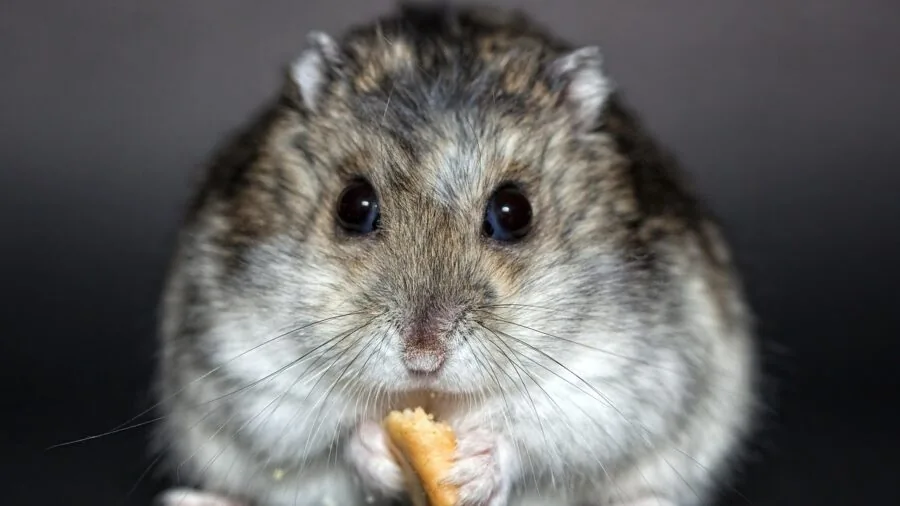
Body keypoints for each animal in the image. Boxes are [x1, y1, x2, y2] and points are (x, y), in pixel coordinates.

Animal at [153, 4, 757, 506]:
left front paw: (471, 469)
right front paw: (377, 448)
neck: (435, 398)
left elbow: (537, 434)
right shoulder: (250, 365)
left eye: (513, 212)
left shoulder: (619, 377)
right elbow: (329, 434)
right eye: (353, 206)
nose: (423, 359)